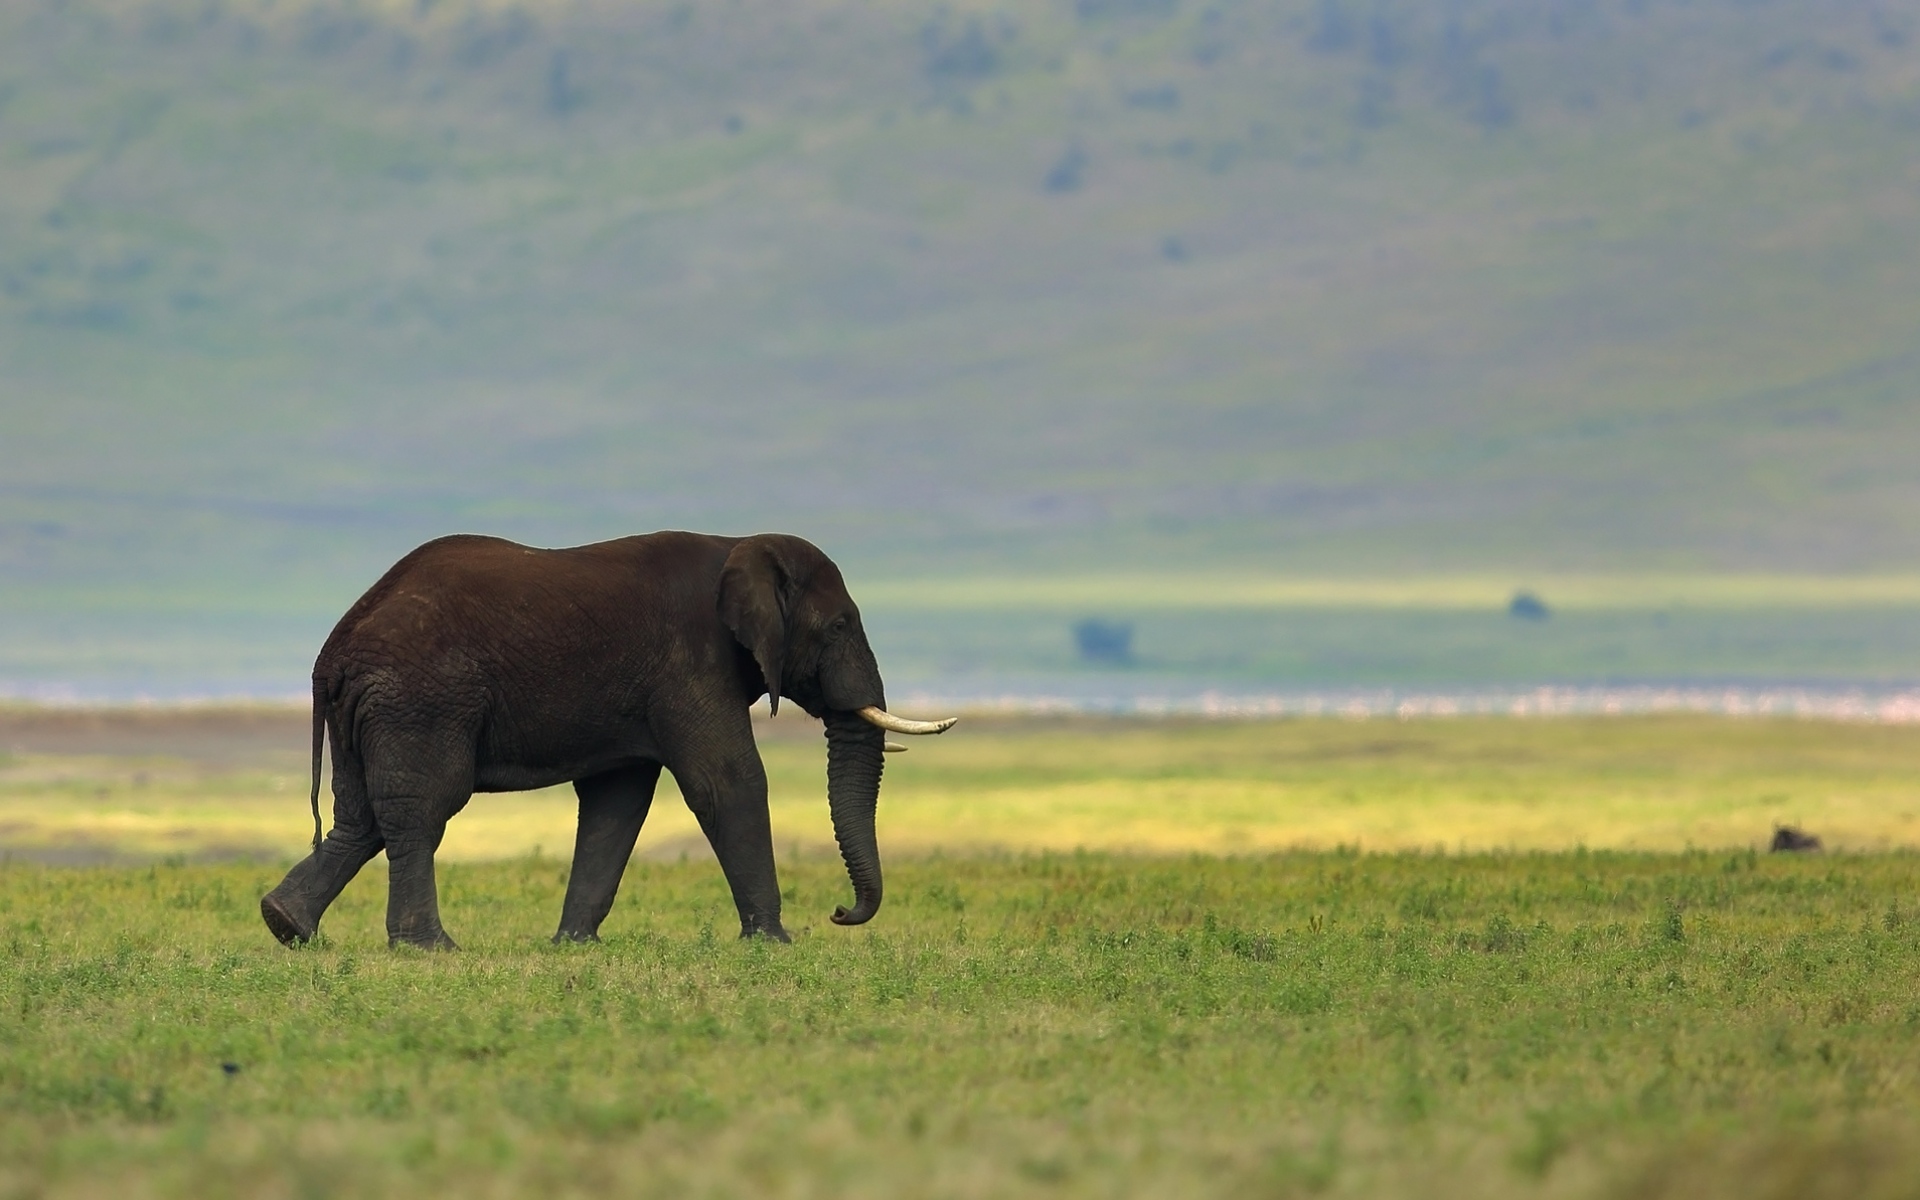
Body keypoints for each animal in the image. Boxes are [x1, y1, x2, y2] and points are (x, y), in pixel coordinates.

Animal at [257, 531, 955, 950]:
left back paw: (286, 924)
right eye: (838, 625)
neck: (737, 545)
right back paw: (430, 949)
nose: (839, 914)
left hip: (373, 709)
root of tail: (336, 650)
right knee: (421, 811)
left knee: (362, 818)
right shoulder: (690, 664)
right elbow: (727, 781)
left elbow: (616, 804)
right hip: (421, 701)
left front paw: (573, 947)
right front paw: (773, 944)